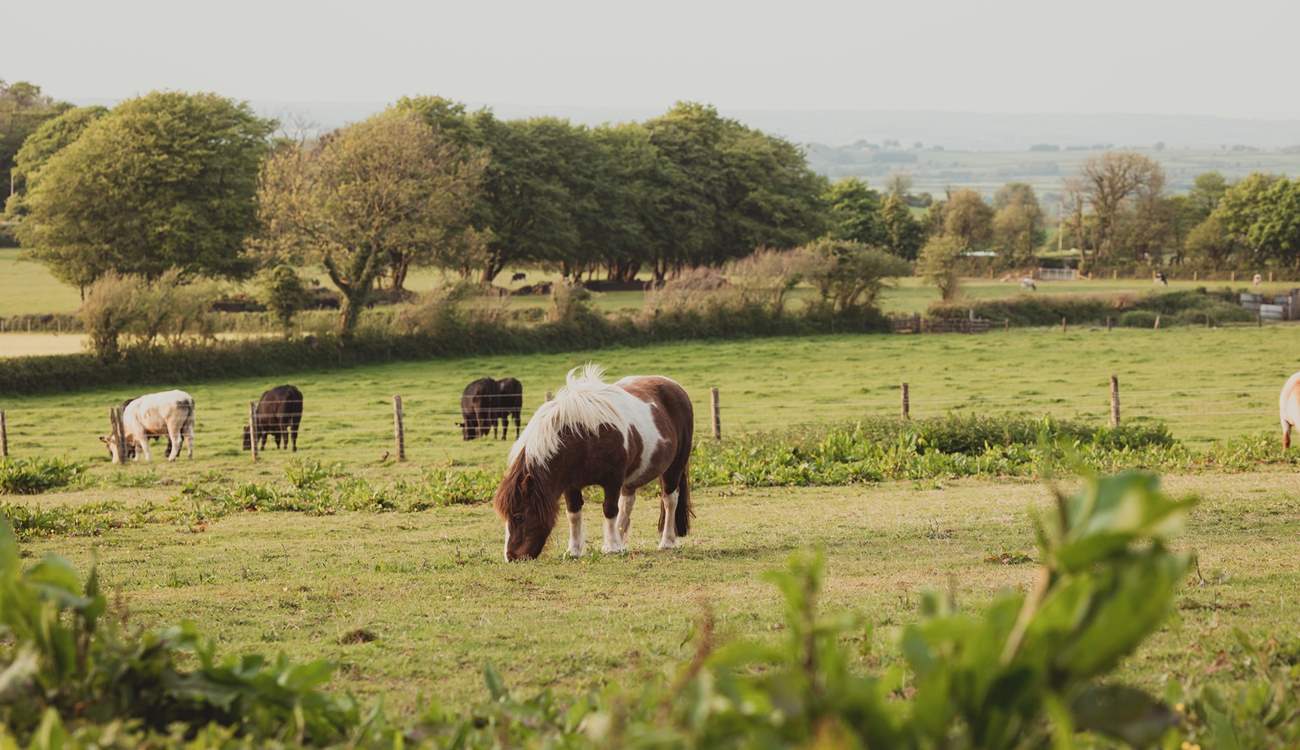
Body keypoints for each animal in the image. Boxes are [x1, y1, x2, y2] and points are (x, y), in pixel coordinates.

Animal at [492, 364, 694, 561]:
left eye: (518, 516)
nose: (511, 557)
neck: (583, 438)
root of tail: (675, 387)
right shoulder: (570, 485)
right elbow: (574, 514)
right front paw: (574, 550)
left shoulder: (613, 480)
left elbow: (609, 510)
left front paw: (611, 547)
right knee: (627, 504)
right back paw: (622, 541)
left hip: (674, 468)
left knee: (669, 500)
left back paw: (666, 542)